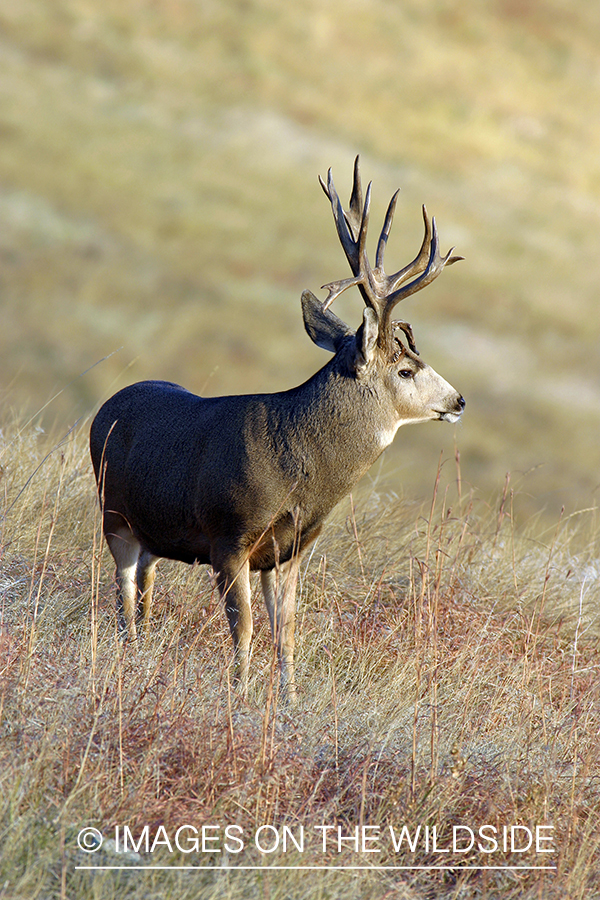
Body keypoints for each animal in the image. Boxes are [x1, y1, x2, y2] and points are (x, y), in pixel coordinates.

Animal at [89, 156, 464, 704]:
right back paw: (127, 650)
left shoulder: (291, 549)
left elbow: (285, 629)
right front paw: (240, 694)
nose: (459, 400)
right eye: (406, 370)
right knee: (123, 584)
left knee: (145, 583)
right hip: (113, 512)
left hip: (151, 527)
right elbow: (243, 626)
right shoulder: (229, 534)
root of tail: (105, 407)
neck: (301, 471)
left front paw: (288, 701)